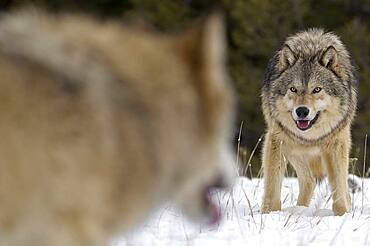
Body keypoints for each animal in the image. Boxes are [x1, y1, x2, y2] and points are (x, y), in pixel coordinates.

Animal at [260, 28, 358, 216]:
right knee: (309, 180)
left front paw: (342, 215)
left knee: (327, 183)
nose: (302, 111)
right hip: (294, 149)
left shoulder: (336, 144)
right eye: (293, 89)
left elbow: (340, 188)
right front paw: (268, 214)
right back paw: (300, 209)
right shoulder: (276, 141)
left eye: (317, 89)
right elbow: (272, 187)